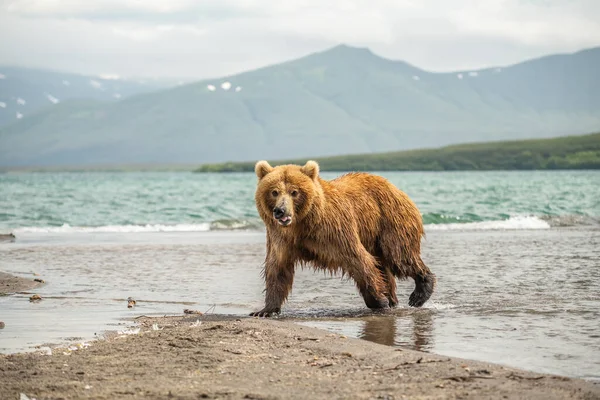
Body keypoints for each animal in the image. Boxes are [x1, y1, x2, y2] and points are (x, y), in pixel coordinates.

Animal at [250, 161, 436, 318]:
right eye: (274, 192)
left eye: (294, 192)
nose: (280, 211)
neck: (303, 224)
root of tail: (395, 187)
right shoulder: (281, 238)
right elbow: (277, 268)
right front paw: (264, 310)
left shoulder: (334, 231)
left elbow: (359, 260)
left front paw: (378, 300)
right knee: (385, 265)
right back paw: (392, 300)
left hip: (391, 220)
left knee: (399, 257)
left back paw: (419, 293)